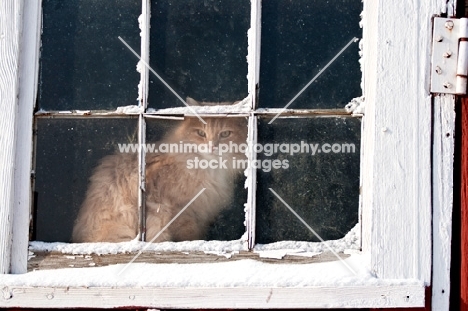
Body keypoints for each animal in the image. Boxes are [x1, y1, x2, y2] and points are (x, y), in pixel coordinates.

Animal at [71, 97, 247, 244]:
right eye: (201, 133)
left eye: (225, 134)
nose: (212, 147)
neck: (209, 169)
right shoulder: (179, 210)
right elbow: (188, 236)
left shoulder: (202, 215)